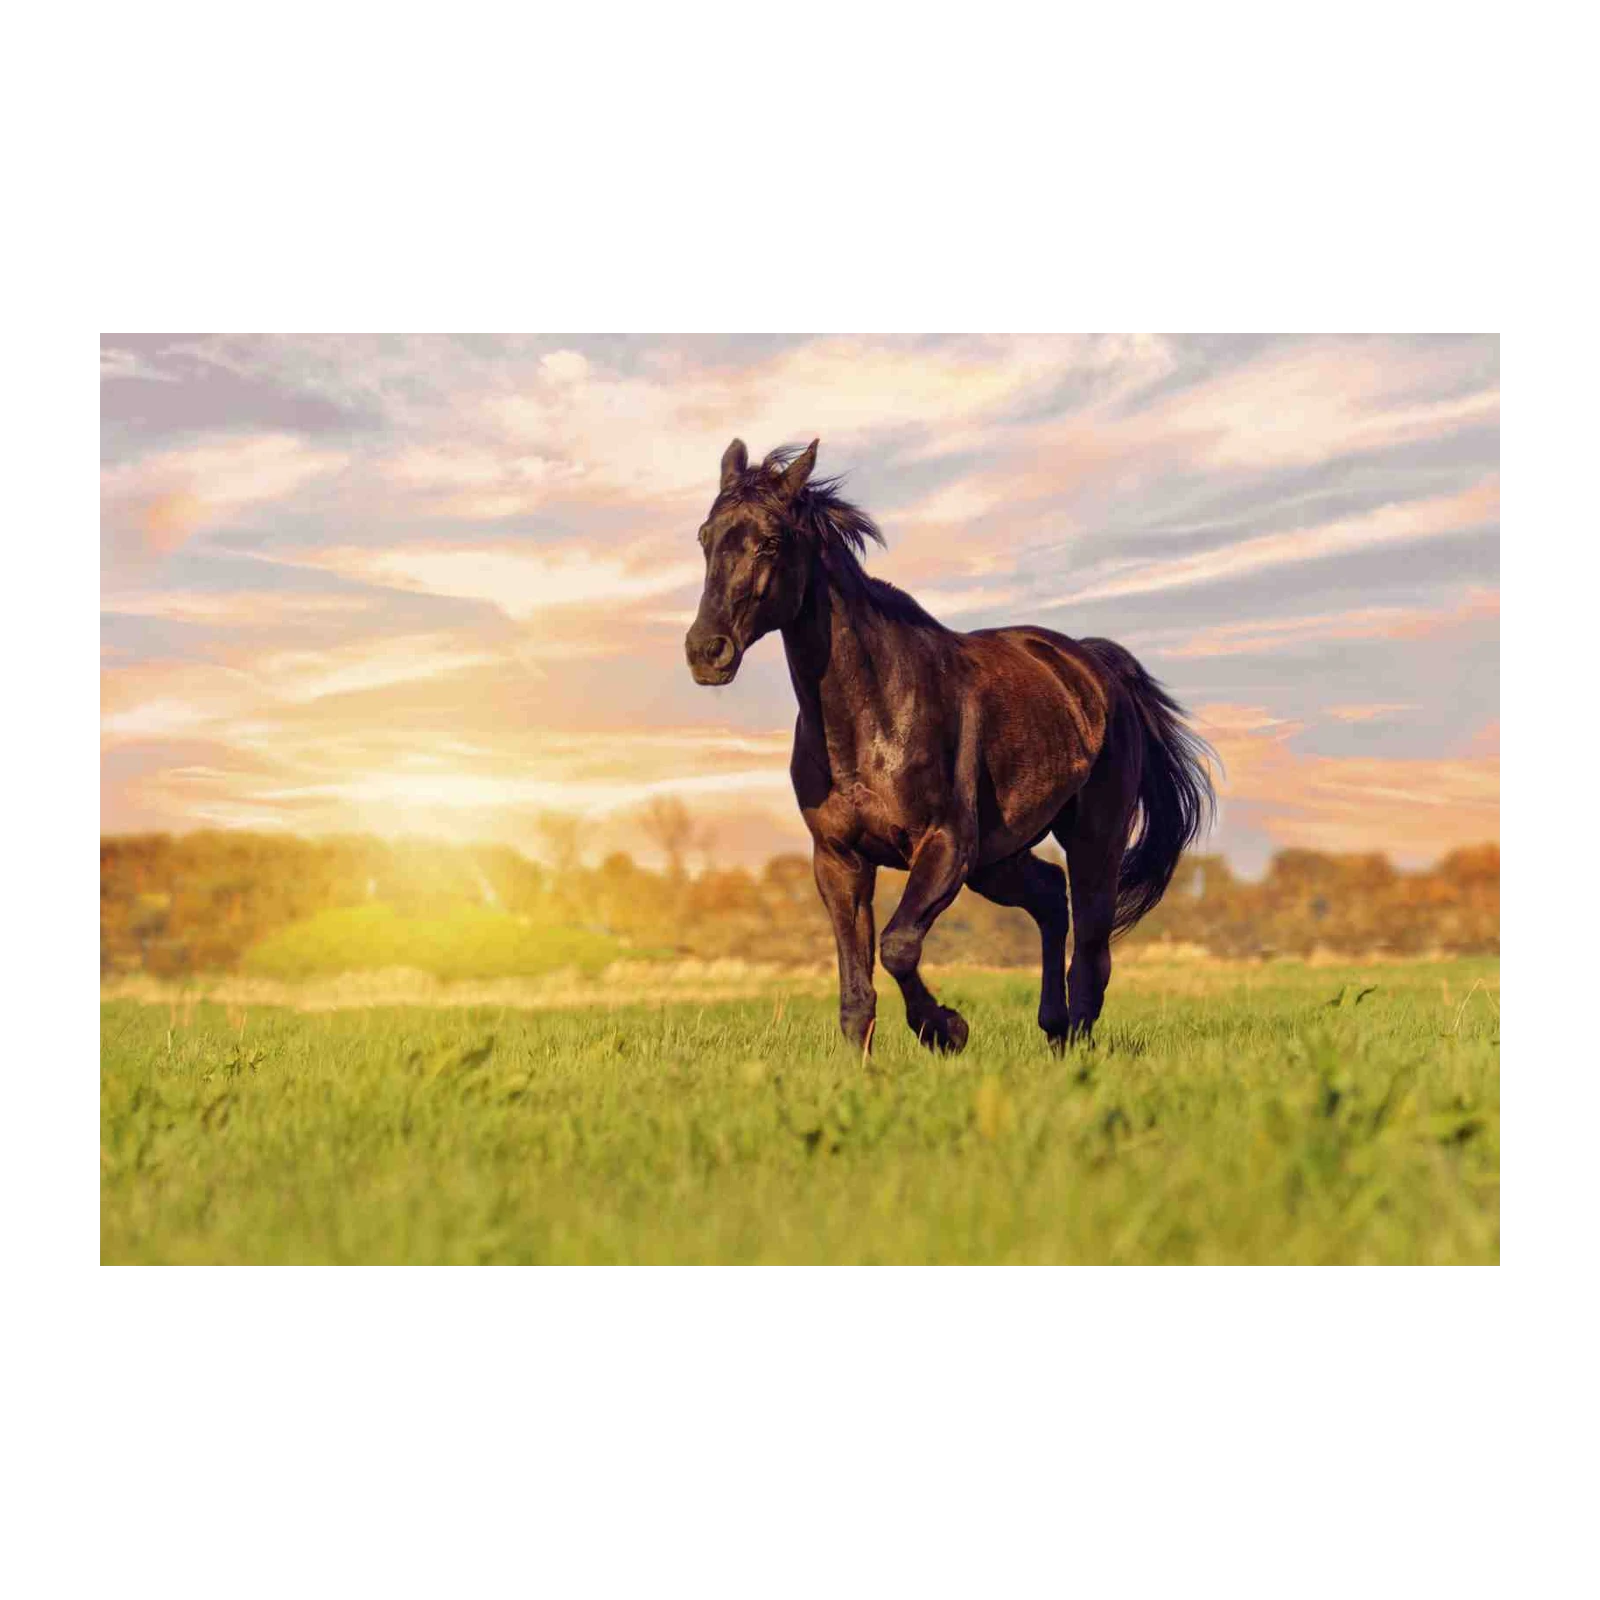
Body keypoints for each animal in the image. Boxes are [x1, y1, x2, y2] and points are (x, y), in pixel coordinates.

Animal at [684, 438, 1216, 1055]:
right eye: (705, 537)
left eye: (770, 541)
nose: (706, 651)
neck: (872, 719)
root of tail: (1094, 665)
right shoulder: (839, 860)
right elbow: (856, 992)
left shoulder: (945, 845)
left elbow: (897, 946)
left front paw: (947, 1029)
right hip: (998, 859)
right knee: (1050, 899)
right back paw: (1053, 1026)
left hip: (1092, 840)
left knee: (1091, 951)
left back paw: (1072, 1044)